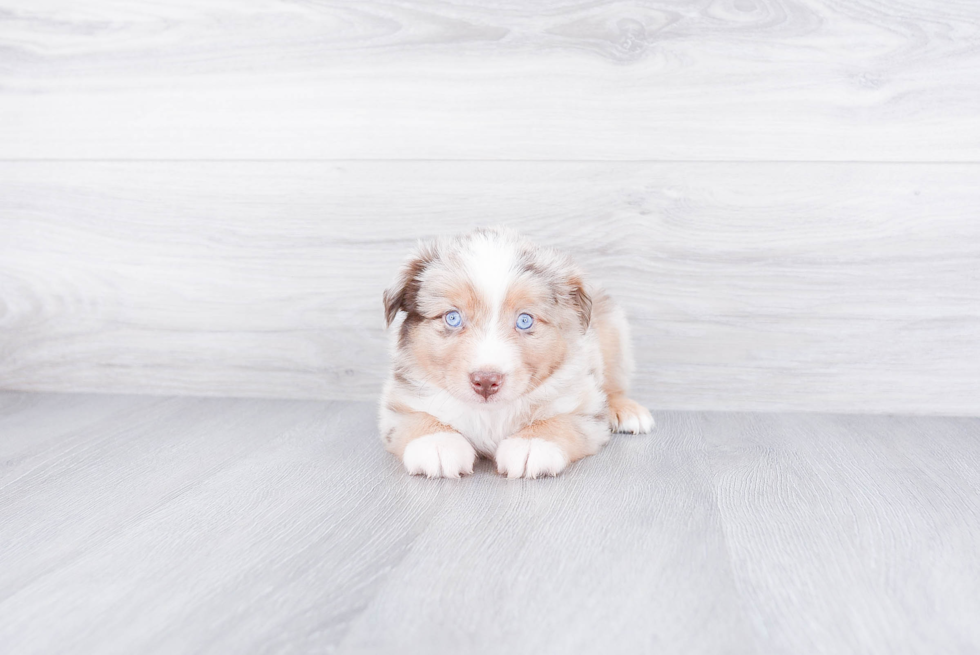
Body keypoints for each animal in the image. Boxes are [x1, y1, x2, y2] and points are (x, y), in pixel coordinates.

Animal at [378, 228, 652, 480]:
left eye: (524, 320)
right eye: (452, 317)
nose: (486, 381)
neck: (490, 414)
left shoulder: (584, 405)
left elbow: (562, 421)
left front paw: (532, 444)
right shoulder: (398, 403)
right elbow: (416, 418)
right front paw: (437, 443)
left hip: (613, 333)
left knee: (614, 385)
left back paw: (626, 410)